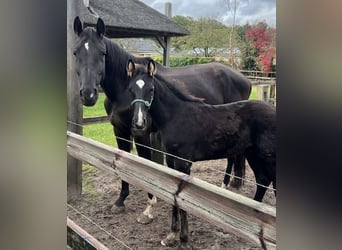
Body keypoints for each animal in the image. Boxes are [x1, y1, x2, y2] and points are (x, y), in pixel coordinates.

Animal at [73, 16, 251, 225]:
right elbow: (121, 161)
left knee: (231, 157)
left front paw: (149, 208)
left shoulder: (141, 133)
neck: (124, 90)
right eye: (75, 52)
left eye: (102, 53)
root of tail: (243, 78)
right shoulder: (120, 130)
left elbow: (146, 162)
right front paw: (120, 200)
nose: (88, 94)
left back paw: (223, 187)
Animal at [127, 59, 276, 249]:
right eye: (131, 89)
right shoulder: (171, 160)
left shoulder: (183, 162)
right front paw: (171, 235)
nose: (139, 123)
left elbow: (180, 197)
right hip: (253, 154)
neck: (176, 116)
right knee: (262, 181)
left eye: (151, 89)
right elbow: (172, 194)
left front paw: (184, 239)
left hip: (268, 156)